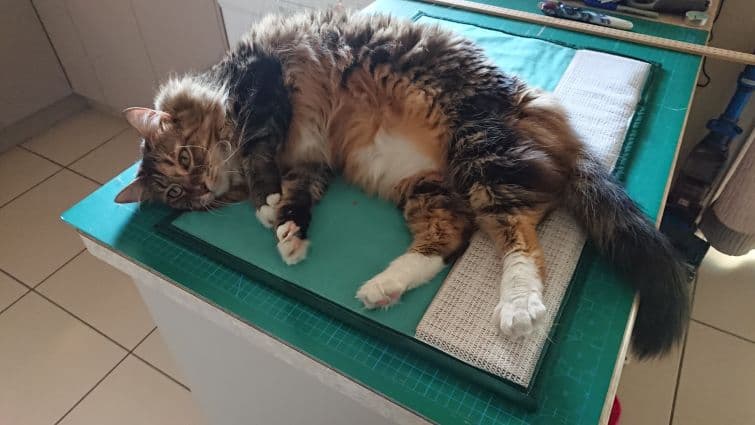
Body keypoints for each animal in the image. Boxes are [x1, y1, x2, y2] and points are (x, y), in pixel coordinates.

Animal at [116, 9, 692, 358]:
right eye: (178, 195)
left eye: (185, 157)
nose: (201, 187)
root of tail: (536, 106)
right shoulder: (311, 160)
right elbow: (302, 197)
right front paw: (291, 235)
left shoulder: (263, 85)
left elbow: (261, 150)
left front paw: (266, 202)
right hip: (426, 184)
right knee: (451, 239)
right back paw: (383, 287)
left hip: (480, 153)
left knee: (521, 241)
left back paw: (517, 308)